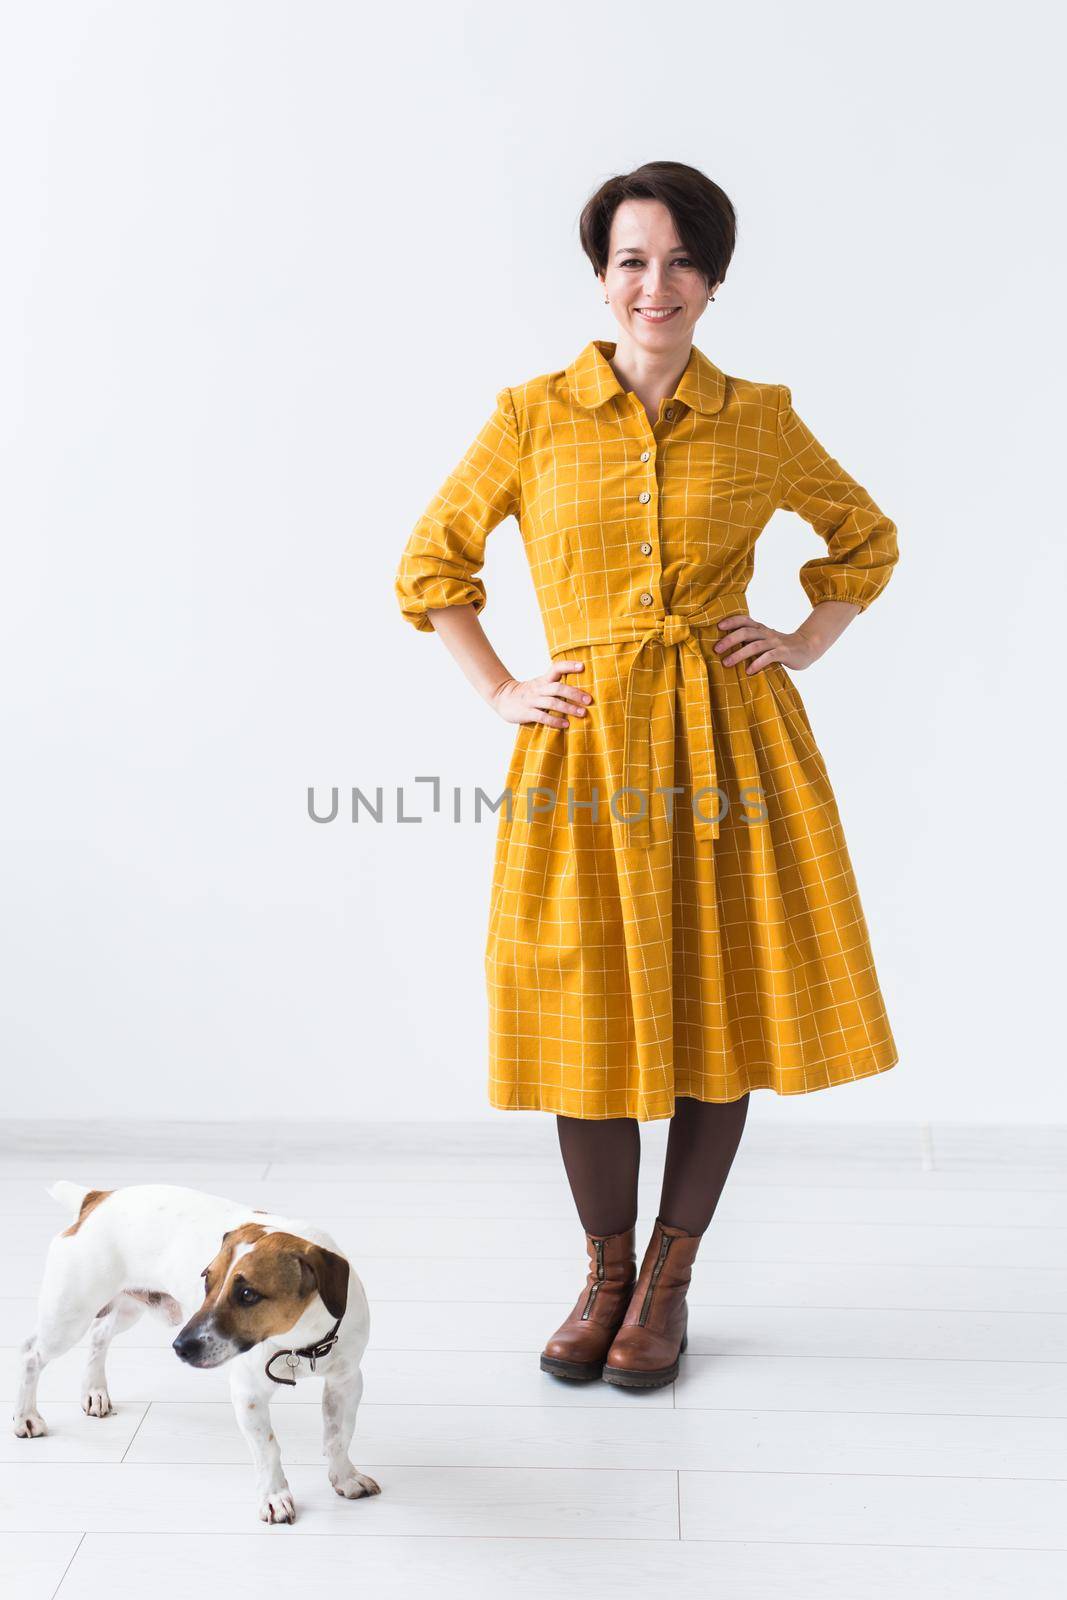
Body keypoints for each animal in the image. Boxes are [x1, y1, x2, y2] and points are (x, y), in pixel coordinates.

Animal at [11, 1177, 383, 1523]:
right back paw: (26, 1417)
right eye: (206, 1279)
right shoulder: (249, 1393)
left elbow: (338, 1436)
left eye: (247, 1294)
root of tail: (96, 1198)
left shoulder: (346, 1383)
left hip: (130, 1308)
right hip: (68, 1317)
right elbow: (268, 1448)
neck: (298, 1340)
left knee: (100, 1334)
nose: (180, 1347)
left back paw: (95, 1391)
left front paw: (345, 1478)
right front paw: (275, 1497)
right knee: (31, 1353)